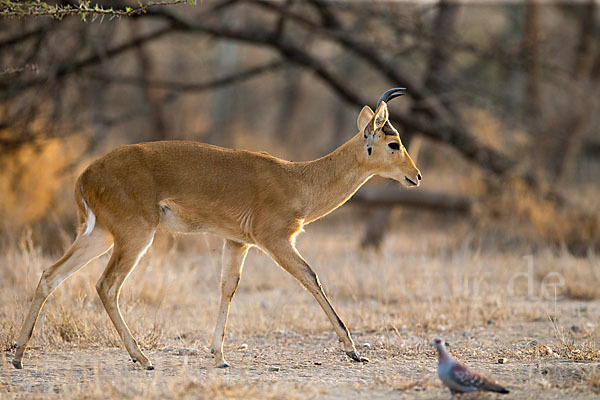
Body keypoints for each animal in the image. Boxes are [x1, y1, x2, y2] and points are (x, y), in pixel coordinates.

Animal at [10, 87, 422, 368]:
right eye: (394, 142)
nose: (416, 176)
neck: (298, 180)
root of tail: (85, 174)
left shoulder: (236, 243)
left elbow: (228, 288)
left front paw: (219, 354)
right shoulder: (276, 241)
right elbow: (311, 277)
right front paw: (353, 350)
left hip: (98, 235)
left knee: (50, 275)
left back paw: (17, 355)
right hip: (135, 236)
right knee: (106, 285)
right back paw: (143, 359)